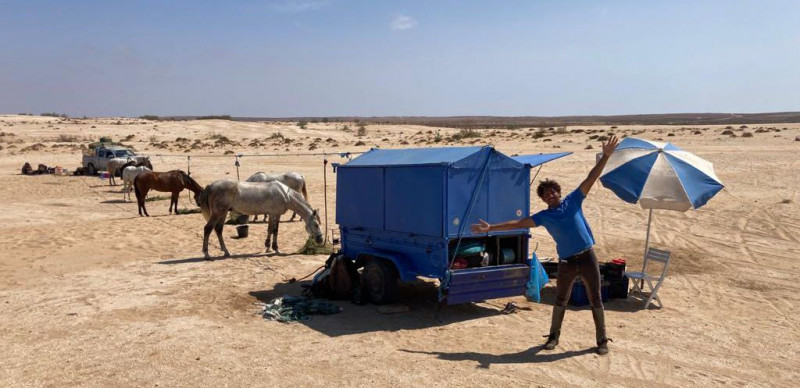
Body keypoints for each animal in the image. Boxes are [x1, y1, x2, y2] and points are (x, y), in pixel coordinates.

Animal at [195, 180, 324, 260]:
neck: (285, 194)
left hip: (223, 213)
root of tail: (210, 186)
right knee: (208, 229)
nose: (320, 239)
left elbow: (272, 230)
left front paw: (270, 248)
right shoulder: (274, 214)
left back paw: (226, 251)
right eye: (316, 224)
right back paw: (207, 254)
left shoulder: (275, 215)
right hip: (218, 213)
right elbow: (273, 230)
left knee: (218, 229)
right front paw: (274, 248)